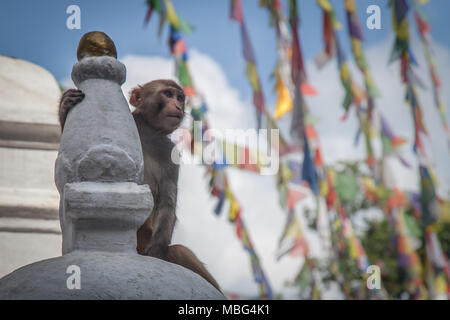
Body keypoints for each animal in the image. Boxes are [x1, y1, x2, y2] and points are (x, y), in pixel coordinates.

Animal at [59, 79, 221, 290]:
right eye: (168, 94)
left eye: (179, 97)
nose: (178, 106)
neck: (147, 133)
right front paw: (64, 107)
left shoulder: (169, 152)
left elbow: (166, 203)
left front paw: (157, 251)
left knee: (178, 251)